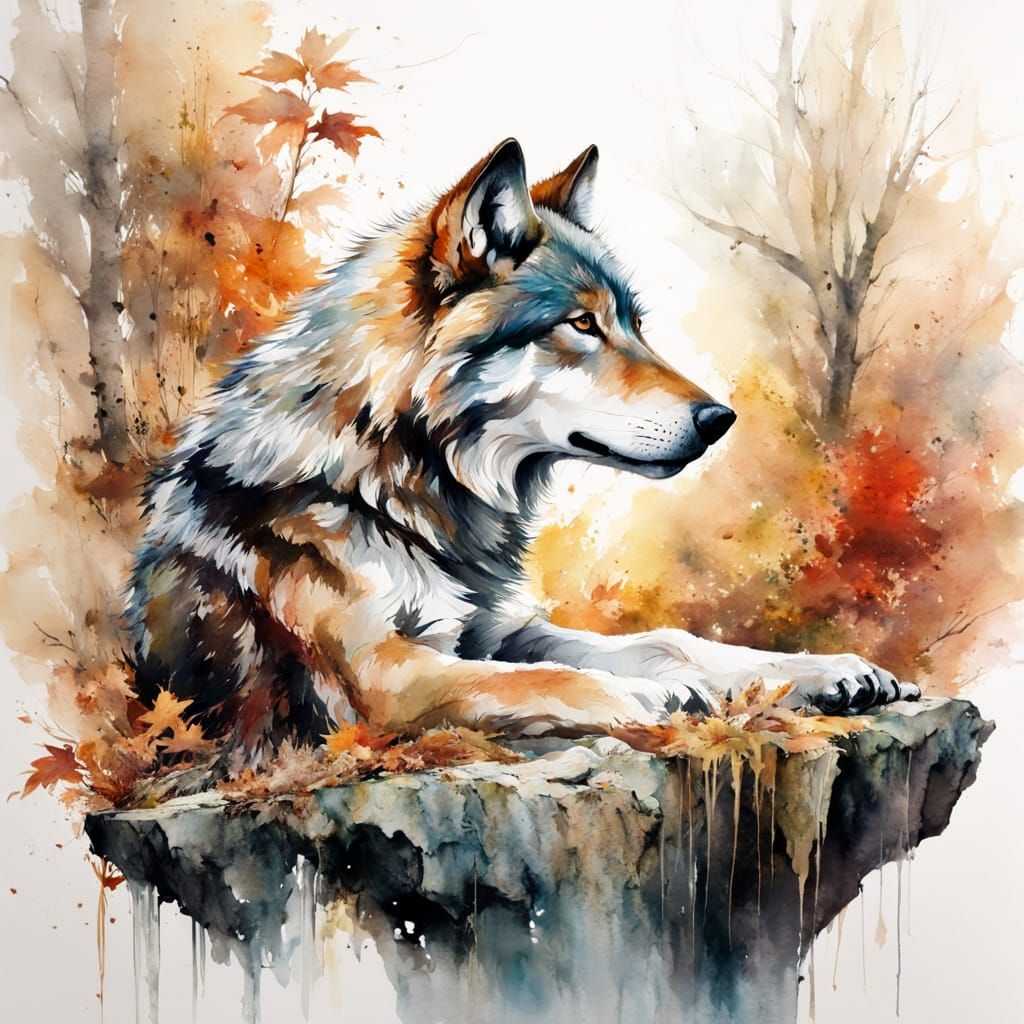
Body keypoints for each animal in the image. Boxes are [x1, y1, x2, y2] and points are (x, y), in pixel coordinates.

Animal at [126, 139, 919, 759]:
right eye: (582, 324)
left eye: (633, 324)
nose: (720, 418)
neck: (398, 476)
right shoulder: (386, 678)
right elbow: (554, 679)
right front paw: (660, 697)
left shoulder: (500, 630)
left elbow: (670, 642)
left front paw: (829, 672)